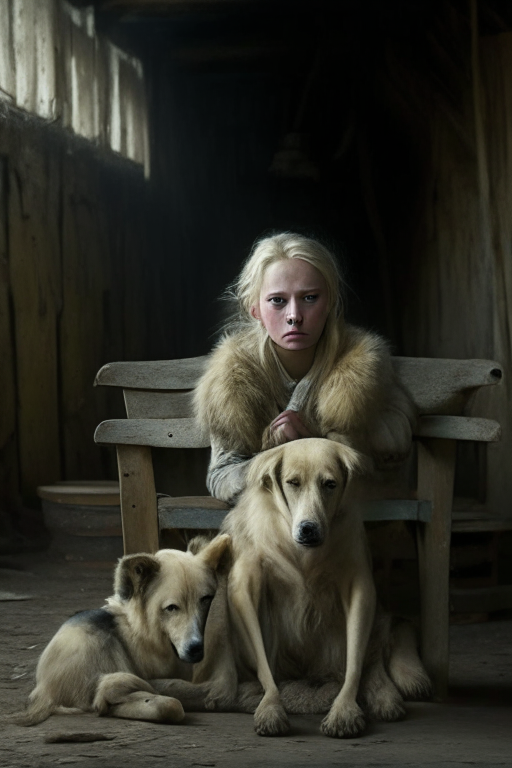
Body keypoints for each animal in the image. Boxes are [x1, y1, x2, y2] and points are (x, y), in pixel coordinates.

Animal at [157, 438, 432, 736]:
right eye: (292, 482)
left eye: (330, 484)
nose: (308, 528)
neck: (300, 552)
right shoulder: (243, 588)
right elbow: (263, 666)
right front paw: (271, 707)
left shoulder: (360, 586)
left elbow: (355, 663)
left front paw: (344, 709)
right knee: (221, 686)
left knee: (378, 653)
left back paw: (387, 696)